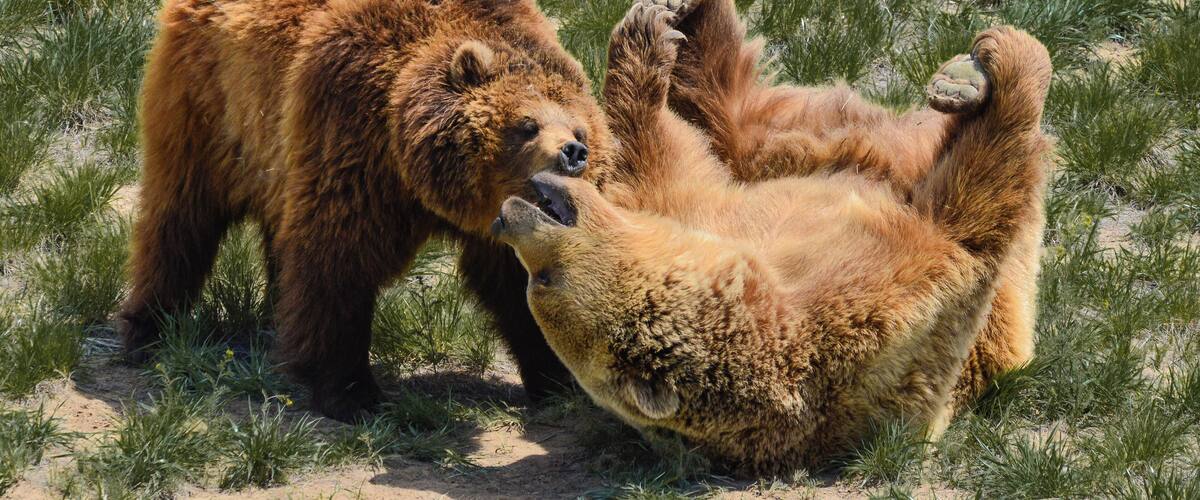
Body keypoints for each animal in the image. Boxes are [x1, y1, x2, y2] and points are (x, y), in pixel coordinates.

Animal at [120, 0, 612, 421]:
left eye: (580, 128)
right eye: (527, 125)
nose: (573, 152)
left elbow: (521, 283)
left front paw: (558, 378)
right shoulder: (353, 136)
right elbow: (338, 260)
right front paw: (350, 391)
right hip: (210, 103)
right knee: (181, 216)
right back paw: (150, 329)